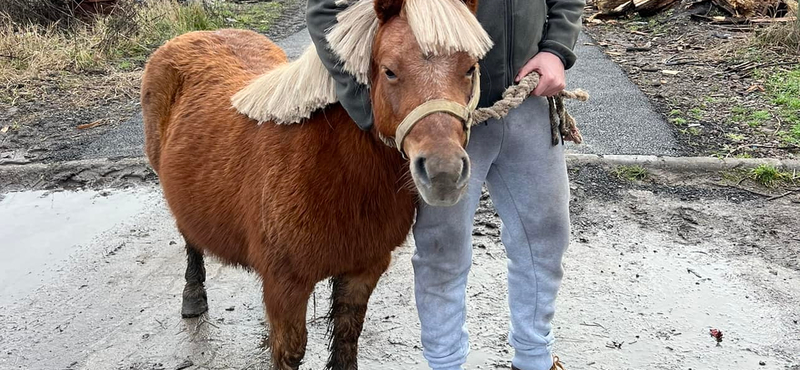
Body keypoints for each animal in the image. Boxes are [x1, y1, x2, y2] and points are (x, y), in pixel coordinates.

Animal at [141, 0, 490, 368]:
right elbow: (291, 351)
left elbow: (347, 337)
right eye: (390, 71)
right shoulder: (287, 284)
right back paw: (193, 295)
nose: (443, 173)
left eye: (470, 68)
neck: (333, 169)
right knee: (190, 237)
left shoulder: (362, 270)